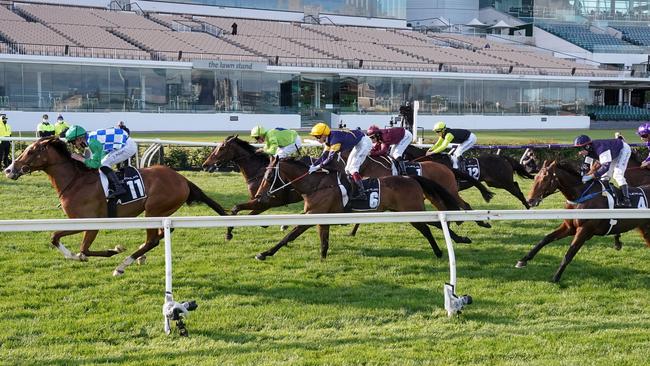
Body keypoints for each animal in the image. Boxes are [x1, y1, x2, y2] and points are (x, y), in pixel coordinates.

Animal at [4, 139, 228, 276]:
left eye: (31, 151)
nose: (8, 169)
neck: (75, 182)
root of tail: (182, 179)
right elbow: (59, 240)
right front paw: (81, 256)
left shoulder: (89, 223)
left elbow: (78, 247)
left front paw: (112, 250)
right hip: (160, 212)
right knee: (163, 233)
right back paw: (140, 255)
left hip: (153, 210)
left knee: (152, 240)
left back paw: (122, 265)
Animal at [251, 156, 464, 262]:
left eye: (269, 177)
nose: (259, 197)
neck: (316, 185)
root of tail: (411, 177)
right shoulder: (320, 217)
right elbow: (323, 241)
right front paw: (323, 258)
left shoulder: (313, 215)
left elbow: (289, 236)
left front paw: (265, 253)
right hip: (406, 211)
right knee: (433, 225)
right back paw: (457, 240)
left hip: (411, 211)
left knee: (430, 226)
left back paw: (443, 249)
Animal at [404, 146, 532, 209]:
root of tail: (503, 158)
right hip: (495, 182)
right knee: (515, 184)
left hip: (503, 181)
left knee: (516, 189)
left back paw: (527, 205)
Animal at [520, 160, 648, 284]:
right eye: (535, 177)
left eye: (545, 179)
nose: (530, 200)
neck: (580, 196)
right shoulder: (569, 227)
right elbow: (545, 239)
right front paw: (523, 260)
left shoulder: (584, 230)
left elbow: (569, 253)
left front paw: (556, 277)